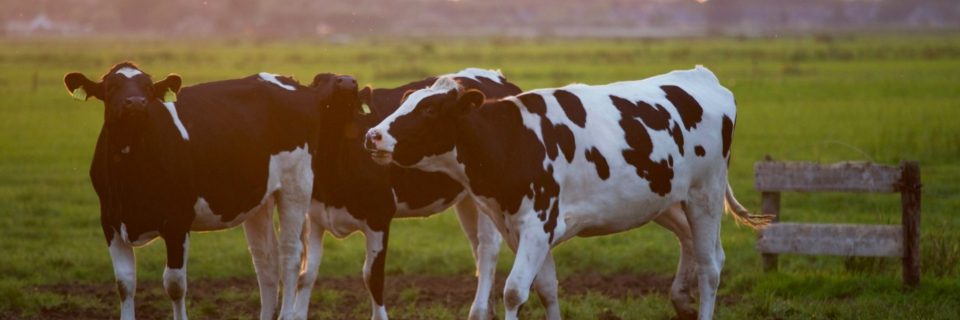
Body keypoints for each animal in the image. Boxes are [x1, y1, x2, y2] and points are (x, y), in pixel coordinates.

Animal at [62, 62, 360, 320]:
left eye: (147, 87)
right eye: (111, 87)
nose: (135, 103)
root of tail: (296, 84)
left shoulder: (177, 221)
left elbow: (174, 284)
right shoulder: (110, 220)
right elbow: (124, 283)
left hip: (295, 185)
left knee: (290, 255)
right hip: (259, 199)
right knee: (266, 261)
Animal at [294, 68, 524, 320]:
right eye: (318, 80)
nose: (347, 81)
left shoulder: (379, 216)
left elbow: (373, 277)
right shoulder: (314, 217)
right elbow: (306, 274)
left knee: (487, 249)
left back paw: (479, 310)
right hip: (469, 199)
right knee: (476, 248)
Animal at [364, 65, 768, 320]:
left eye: (430, 110)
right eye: (406, 101)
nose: (373, 135)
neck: (512, 140)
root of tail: (702, 76)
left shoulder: (538, 224)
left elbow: (514, 291)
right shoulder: (522, 230)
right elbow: (547, 289)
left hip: (705, 194)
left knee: (710, 266)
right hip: (664, 199)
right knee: (698, 247)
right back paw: (681, 300)